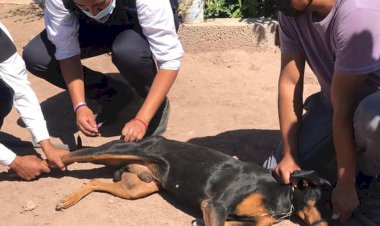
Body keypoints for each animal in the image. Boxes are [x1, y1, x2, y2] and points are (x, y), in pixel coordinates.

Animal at [55, 136, 330, 226]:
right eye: (323, 202)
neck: (281, 193)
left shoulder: (249, 219)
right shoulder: (215, 205)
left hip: (137, 188)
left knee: (94, 182)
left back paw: (68, 200)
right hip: (116, 151)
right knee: (79, 154)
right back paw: (53, 159)